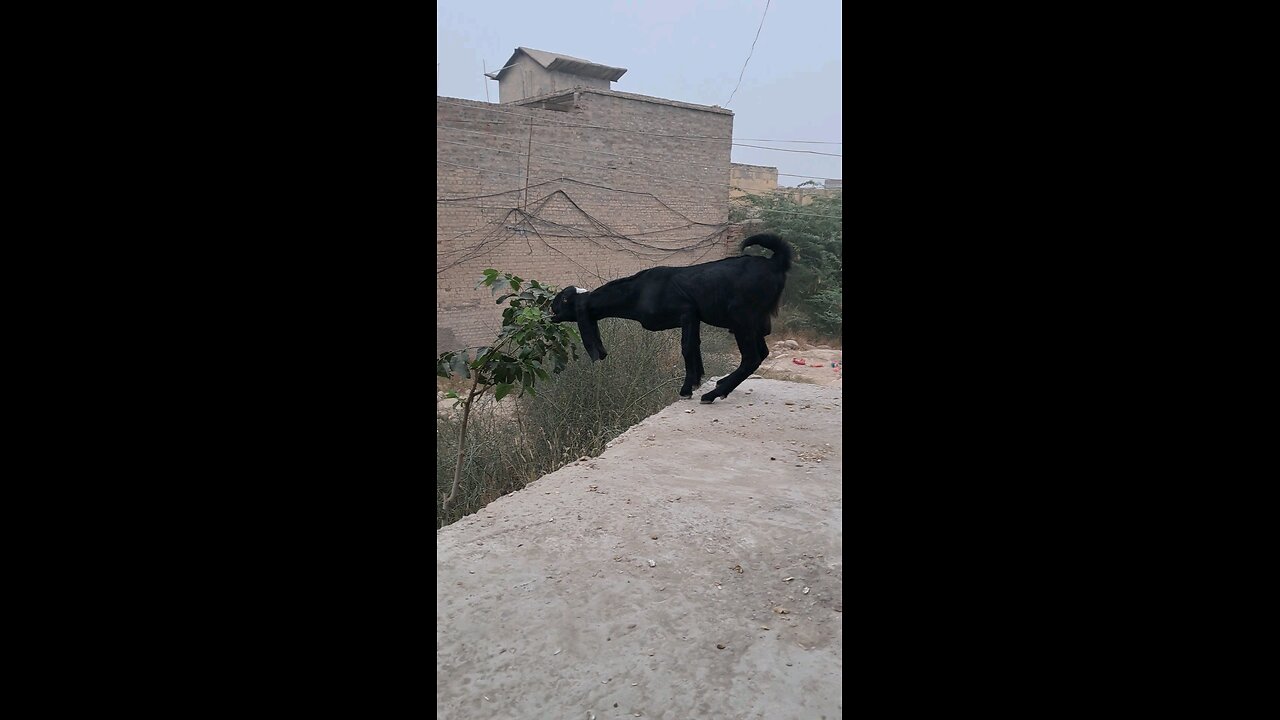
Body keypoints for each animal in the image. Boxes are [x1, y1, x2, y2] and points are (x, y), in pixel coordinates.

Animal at [547, 235, 788, 404]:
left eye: (562, 300)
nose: (550, 309)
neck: (638, 292)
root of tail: (776, 263)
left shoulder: (686, 312)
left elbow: (687, 347)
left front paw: (687, 389)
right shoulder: (694, 317)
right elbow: (695, 346)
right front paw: (696, 380)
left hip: (741, 318)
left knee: (751, 357)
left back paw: (713, 394)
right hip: (756, 321)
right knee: (762, 353)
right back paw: (722, 385)